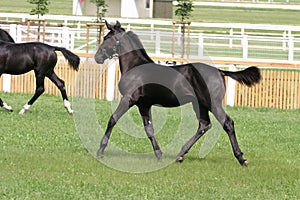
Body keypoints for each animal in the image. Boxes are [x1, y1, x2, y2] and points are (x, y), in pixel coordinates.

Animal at [94, 21, 260, 166]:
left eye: (106, 38)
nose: (97, 57)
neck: (135, 67)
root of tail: (220, 71)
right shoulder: (144, 105)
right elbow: (149, 130)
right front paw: (159, 155)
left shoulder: (129, 99)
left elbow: (113, 119)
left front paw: (100, 151)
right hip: (199, 104)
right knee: (204, 124)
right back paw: (180, 155)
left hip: (212, 103)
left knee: (227, 123)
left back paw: (241, 158)